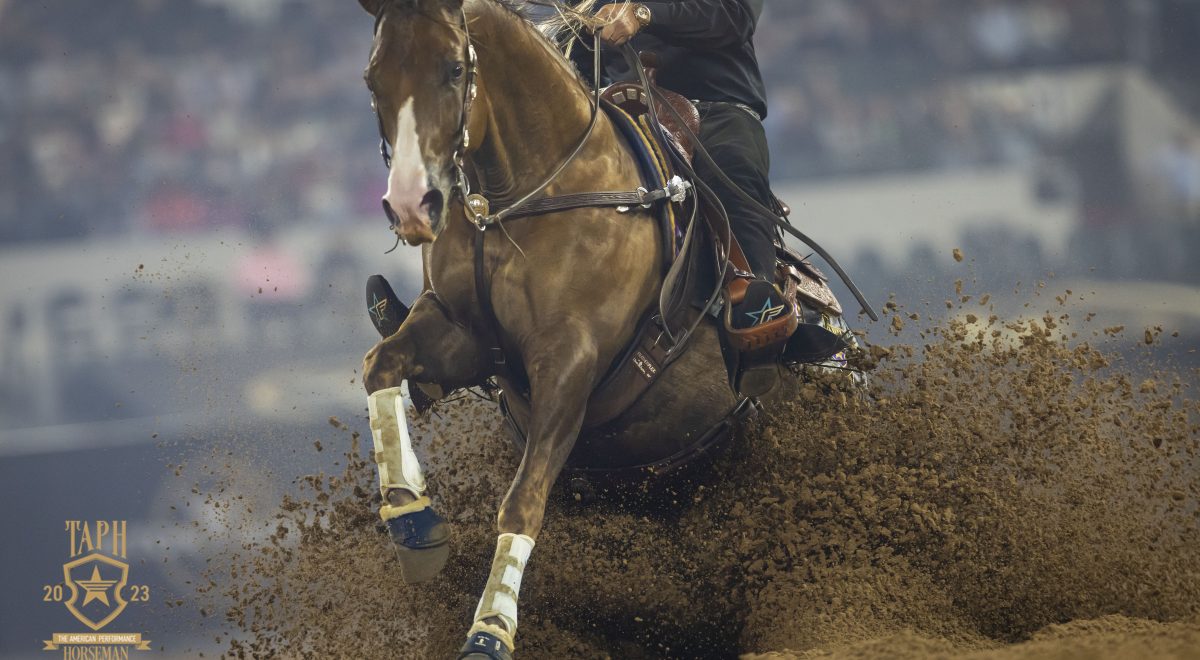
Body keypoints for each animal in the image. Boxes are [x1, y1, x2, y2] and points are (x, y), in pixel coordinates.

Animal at [352, 2, 854, 657]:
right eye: (373, 78)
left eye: (454, 68)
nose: (413, 205)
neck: (525, 195)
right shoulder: (463, 335)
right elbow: (380, 365)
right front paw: (414, 522)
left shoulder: (570, 359)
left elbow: (522, 502)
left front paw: (489, 632)